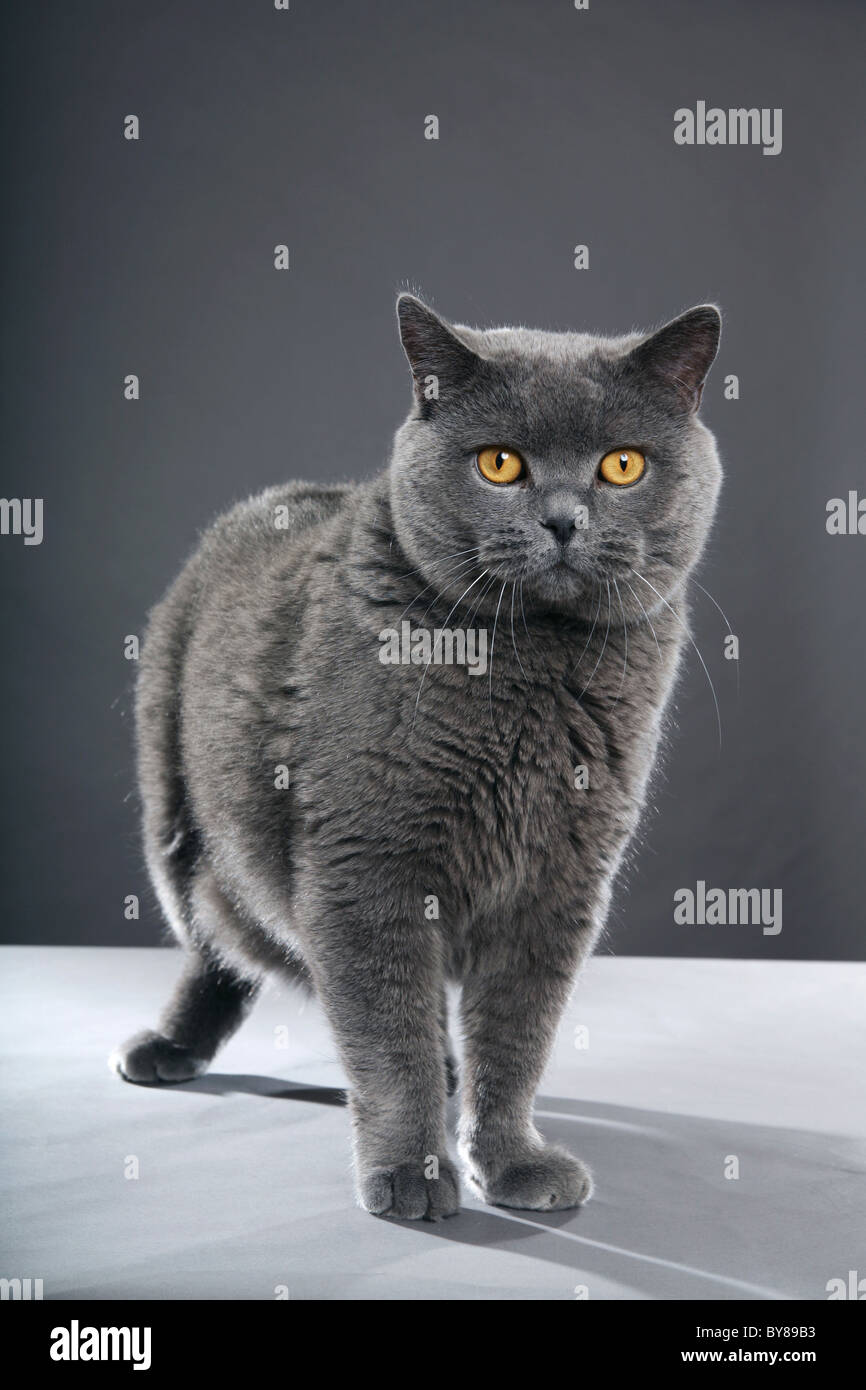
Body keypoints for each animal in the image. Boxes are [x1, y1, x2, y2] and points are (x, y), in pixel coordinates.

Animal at [111, 293, 722, 1217]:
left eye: (622, 466)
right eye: (500, 463)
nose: (563, 520)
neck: (529, 671)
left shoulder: (560, 882)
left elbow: (518, 1036)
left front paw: (510, 1161)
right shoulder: (367, 867)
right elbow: (388, 1032)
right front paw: (411, 1174)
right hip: (175, 828)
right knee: (219, 943)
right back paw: (166, 1048)